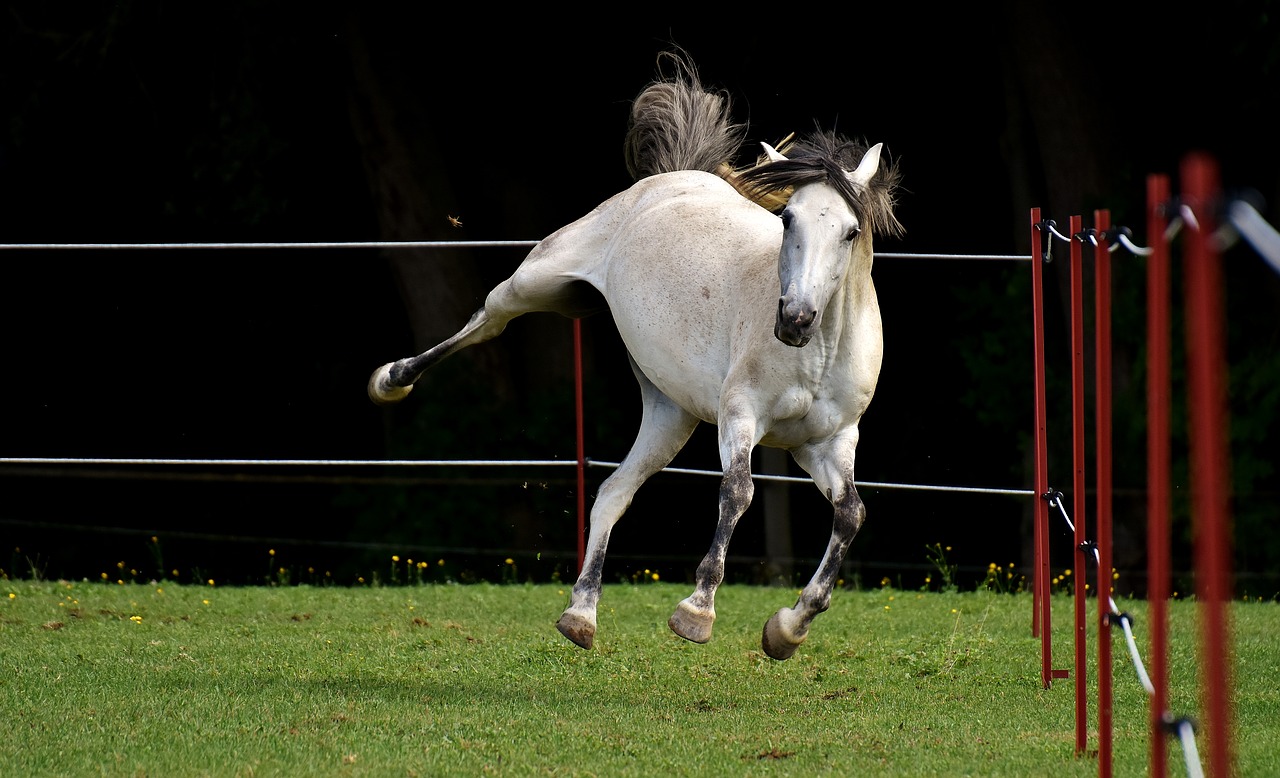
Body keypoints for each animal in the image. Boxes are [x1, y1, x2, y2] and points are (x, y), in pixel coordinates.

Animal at [366, 50, 906, 655]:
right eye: (788, 218)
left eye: (850, 231)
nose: (793, 320)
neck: (819, 355)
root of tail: (675, 176)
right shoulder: (740, 417)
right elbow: (737, 492)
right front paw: (697, 612)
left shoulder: (826, 443)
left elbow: (851, 514)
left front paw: (788, 629)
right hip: (536, 282)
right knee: (483, 325)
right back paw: (391, 379)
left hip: (668, 414)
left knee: (612, 491)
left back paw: (581, 614)